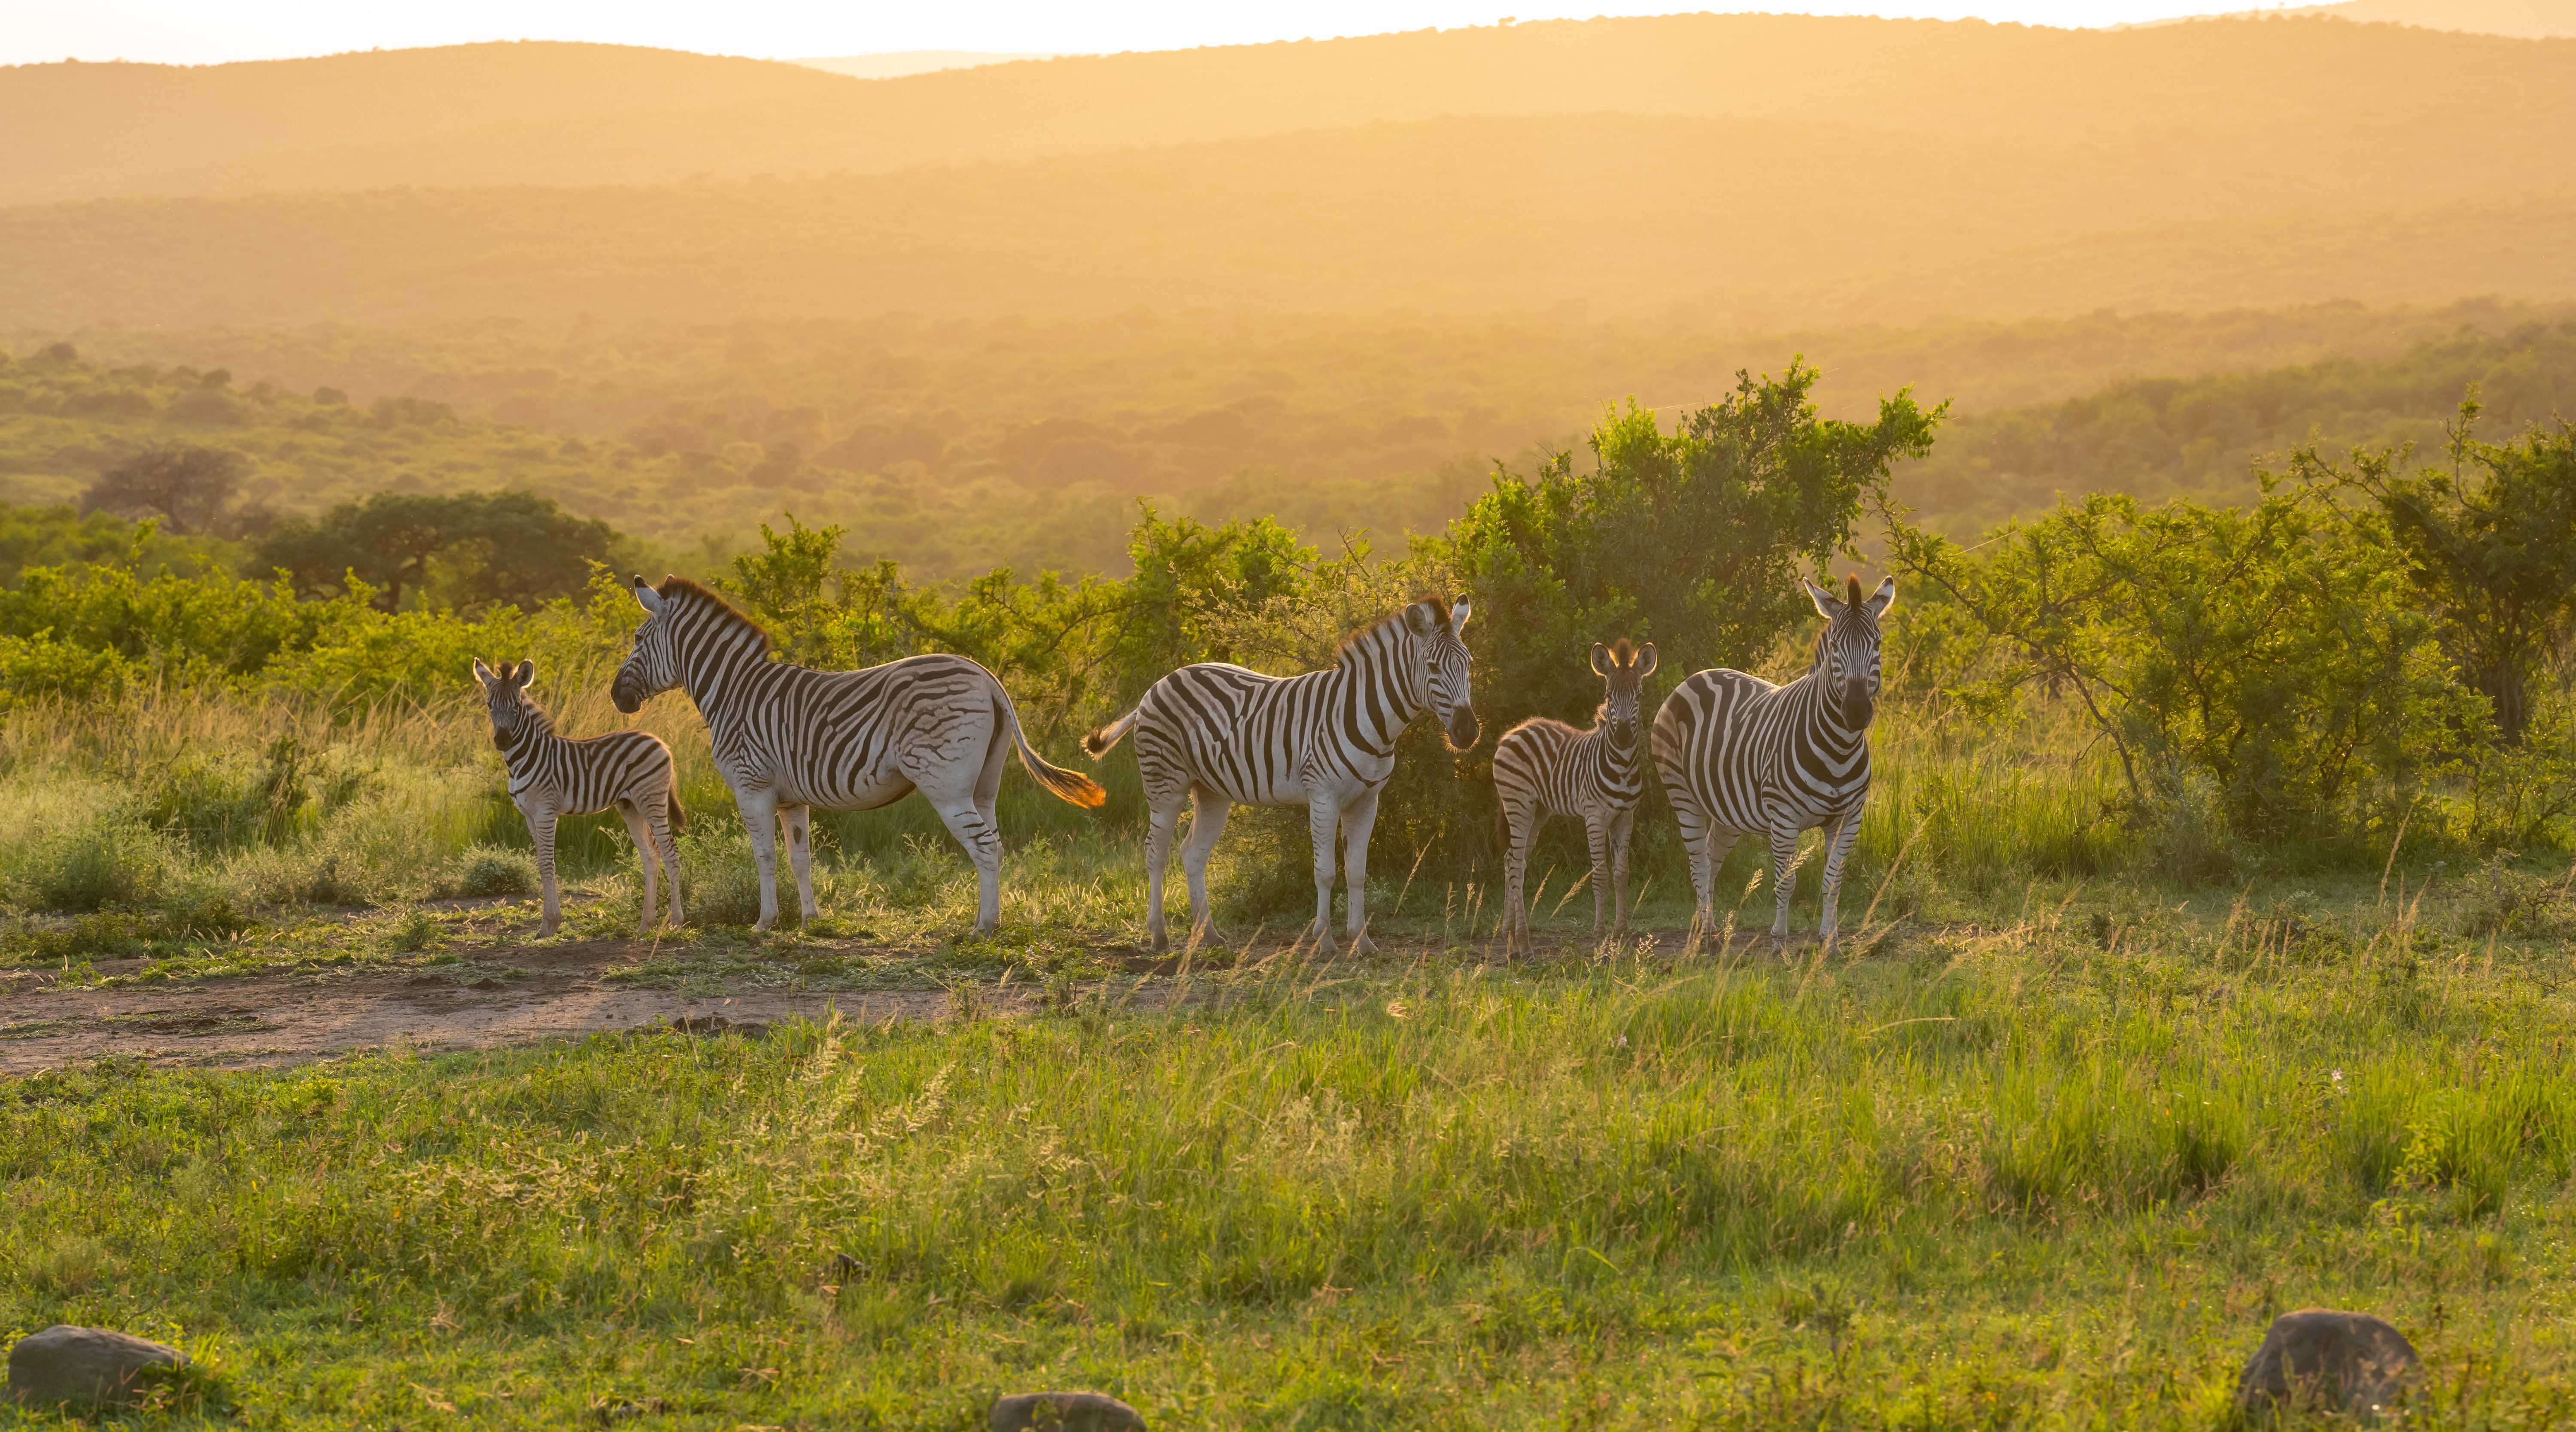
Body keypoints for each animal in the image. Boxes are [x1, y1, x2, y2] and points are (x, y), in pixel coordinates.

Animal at [473, 657, 686, 937]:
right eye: (490, 705)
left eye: (517, 706)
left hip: (652, 800)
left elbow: (547, 864)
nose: (503, 741)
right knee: (650, 854)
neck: (523, 758)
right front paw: (549, 924)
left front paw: (549, 925)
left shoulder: (546, 812)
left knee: (671, 851)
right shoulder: (529, 816)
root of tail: (659, 741)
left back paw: (676, 921)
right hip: (630, 805)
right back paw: (645, 925)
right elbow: (540, 865)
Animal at [608, 575, 1105, 932]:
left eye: (636, 638)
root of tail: (986, 676)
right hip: (984, 786)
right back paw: (991, 920)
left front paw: (765, 923)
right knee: (996, 846)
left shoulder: (752, 786)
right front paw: (810, 920)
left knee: (984, 848)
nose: (617, 697)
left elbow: (764, 857)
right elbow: (800, 859)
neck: (734, 692)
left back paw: (983, 928)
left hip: (946, 786)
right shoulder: (791, 798)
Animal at [1082, 595, 1478, 957]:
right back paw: (1160, 935)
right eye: (1433, 667)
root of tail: (1158, 685)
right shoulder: (1323, 796)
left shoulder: (1367, 801)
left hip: (1212, 791)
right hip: (1165, 784)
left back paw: (1208, 935)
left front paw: (1362, 941)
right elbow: (1326, 871)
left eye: (1469, 665)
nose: (1468, 732)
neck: (1369, 716)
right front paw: (1325, 941)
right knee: (1156, 853)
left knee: (1193, 853)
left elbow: (1357, 872)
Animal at [1493, 638, 1657, 949]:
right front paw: (1599, 934)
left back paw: (1507, 930)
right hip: (1518, 804)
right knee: (1516, 863)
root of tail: (1516, 730)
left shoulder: (1625, 817)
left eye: (1640, 696)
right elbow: (1601, 875)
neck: (1623, 767)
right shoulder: (1595, 816)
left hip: (1538, 811)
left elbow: (1622, 875)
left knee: (1512, 860)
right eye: (1608, 696)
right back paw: (1520, 937)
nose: (1623, 739)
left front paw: (1621, 932)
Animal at [1649, 575, 1895, 953]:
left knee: (1711, 859)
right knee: (1699, 866)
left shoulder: (1848, 818)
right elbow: (1786, 882)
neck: (1840, 748)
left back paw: (1708, 926)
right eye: (1836, 646)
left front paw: (1830, 943)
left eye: (1878, 644)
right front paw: (1780, 942)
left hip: (1727, 810)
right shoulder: (1784, 817)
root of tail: (1698, 675)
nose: (1855, 712)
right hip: (1682, 794)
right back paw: (1704, 936)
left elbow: (1833, 883)